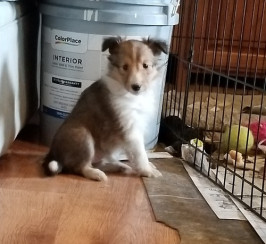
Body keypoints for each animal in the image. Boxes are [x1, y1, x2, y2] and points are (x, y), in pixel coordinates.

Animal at [42, 36, 167, 181]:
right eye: (125, 67)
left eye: (145, 66)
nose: (136, 87)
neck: (131, 95)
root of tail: (52, 154)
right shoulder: (130, 130)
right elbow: (140, 153)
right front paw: (148, 170)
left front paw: (148, 166)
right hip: (83, 135)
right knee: (79, 167)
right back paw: (97, 174)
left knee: (97, 163)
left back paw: (120, 166)